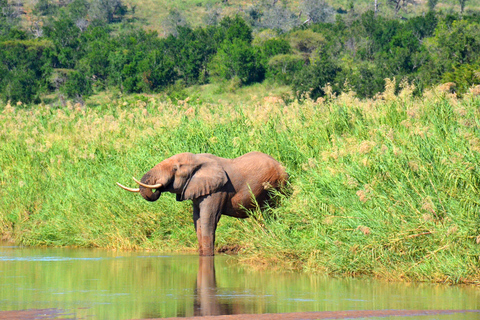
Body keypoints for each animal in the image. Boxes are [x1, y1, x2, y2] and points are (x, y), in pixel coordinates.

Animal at [116, 151, 288, 256]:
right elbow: (197, 219)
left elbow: (208, 219)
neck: (197, 159)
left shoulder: (217, 190)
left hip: (276, 185)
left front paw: (208, 255)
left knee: (271, 212)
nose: (159, 187)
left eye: (175, 169)